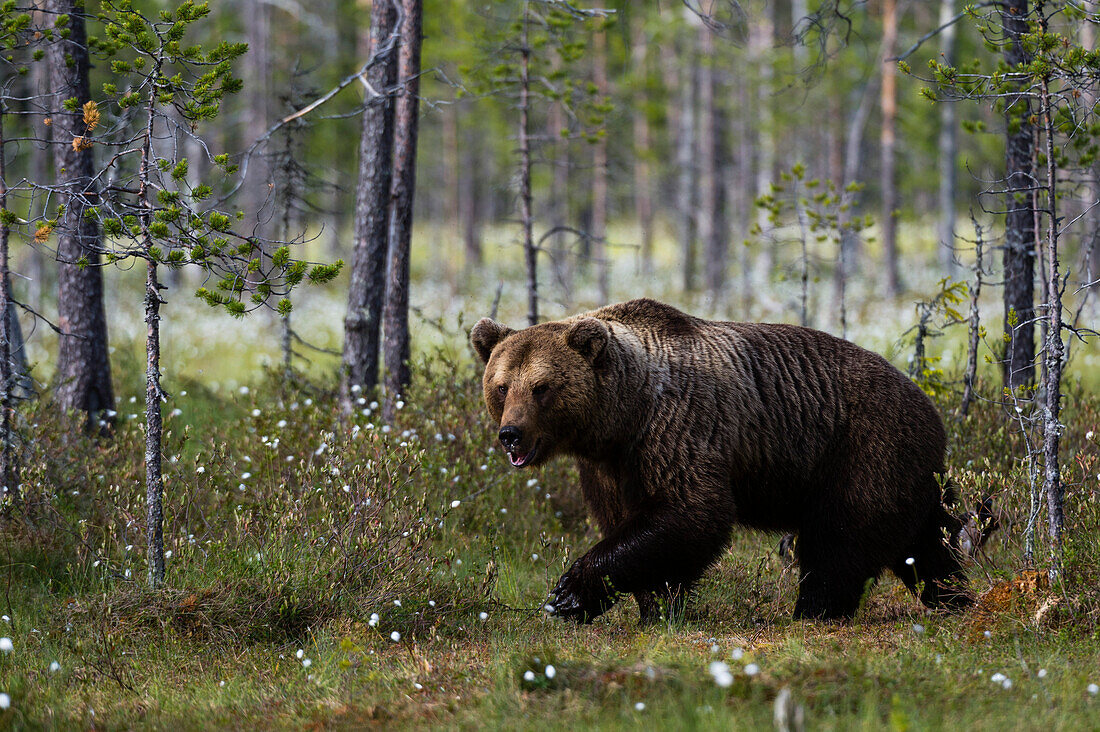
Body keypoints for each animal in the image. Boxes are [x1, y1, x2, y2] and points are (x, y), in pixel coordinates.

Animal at [468, 297, 976, 620]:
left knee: (840, 539)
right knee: (926, 542)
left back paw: (814, 610)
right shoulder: (610, 464)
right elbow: (628, 522)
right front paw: (653, 605)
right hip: (904, 472)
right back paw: (954, 597)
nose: (511, 435)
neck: (624, 414)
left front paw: (570, 594)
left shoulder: (679, 426)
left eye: (541, 387)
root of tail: (932, 408)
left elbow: (691, 512)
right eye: (501, 386)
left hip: (863, 447)